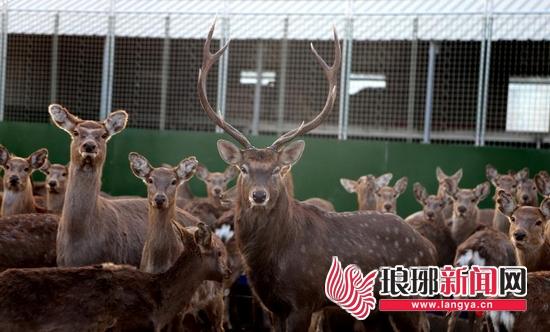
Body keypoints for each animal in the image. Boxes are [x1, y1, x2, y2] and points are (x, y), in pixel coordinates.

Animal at [199, 22, 440, 330]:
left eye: (277, 169)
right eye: (244, 169)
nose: (259, 195)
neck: (271, 258)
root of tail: (430, 249)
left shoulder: (303, 300)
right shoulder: (272, 305)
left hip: (407, 298)